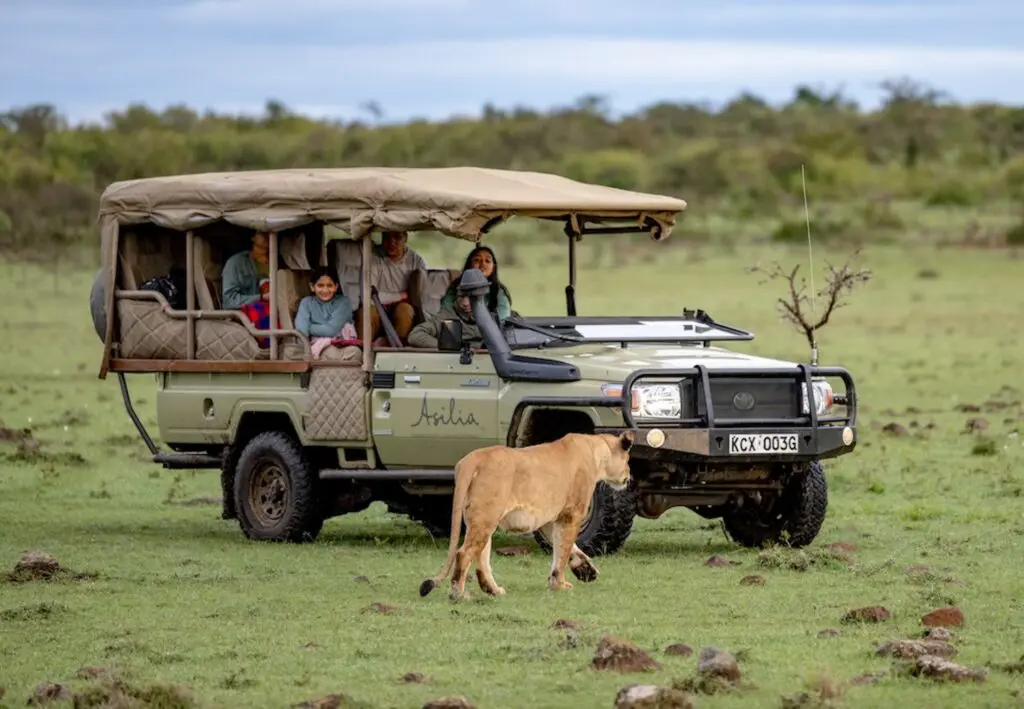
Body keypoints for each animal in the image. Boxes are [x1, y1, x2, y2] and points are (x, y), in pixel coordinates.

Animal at [418, 430, 634, 601]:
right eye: (628, 460)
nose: (629, 476)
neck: (597, 449)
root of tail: (473, 458)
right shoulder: (572, 513)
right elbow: (563, 550)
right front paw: (560, 584)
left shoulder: (550, 520)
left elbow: (565, 547)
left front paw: (585, 570)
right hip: (486, 517)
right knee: (464, 553)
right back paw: (459, 594)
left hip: (481, 519)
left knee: (481, 559)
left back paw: (494, 590)